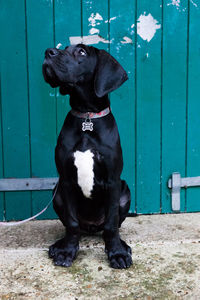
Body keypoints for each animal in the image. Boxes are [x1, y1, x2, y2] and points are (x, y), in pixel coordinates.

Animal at [42, 42, 133, 270]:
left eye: (81, 52)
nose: (48, 52)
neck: (87, 118)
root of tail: (91, 227)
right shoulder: (65, 180)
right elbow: (72, 222)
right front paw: (67, 251)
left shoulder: (113, 181)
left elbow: (111, 225)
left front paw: (117, 253)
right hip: (57, 193)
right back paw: (60, 244)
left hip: (125, 190)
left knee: (112, 224)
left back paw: (121, 244)